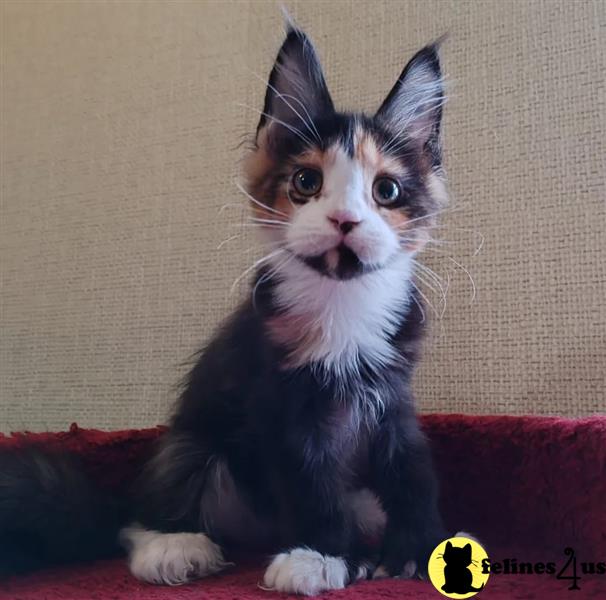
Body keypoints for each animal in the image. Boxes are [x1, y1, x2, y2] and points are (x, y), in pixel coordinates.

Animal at [0, 23, 452, 596]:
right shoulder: (282, 401)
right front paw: (322, 555)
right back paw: (174, 547)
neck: (342, 304)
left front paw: (417, 548)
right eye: (306, 182)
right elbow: (312, 485)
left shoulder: (392, 392)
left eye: (386, 190)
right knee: (137, 518)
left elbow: (410, 469)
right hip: (194, 445)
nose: (345, 220)